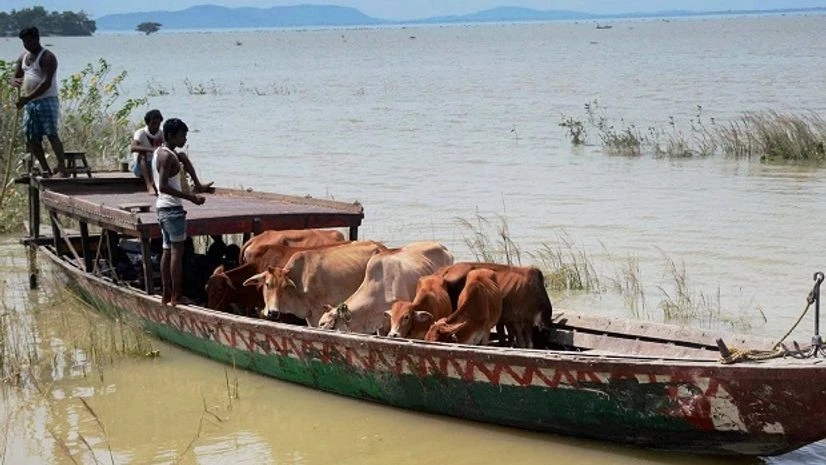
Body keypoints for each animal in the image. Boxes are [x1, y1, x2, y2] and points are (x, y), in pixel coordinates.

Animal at [242, 241, 386, 325]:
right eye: (267, 284)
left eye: (285, 286)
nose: (273, 312)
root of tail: (381, 247)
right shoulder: (308, 315)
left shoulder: (317, 313)